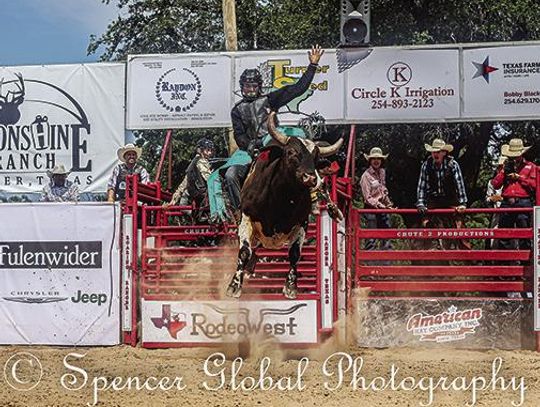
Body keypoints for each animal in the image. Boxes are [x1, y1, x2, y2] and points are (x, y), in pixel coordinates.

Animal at [226, 111, 344, 300]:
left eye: (316, 158)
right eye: (291, 152)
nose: (310, 177)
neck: (280, 200)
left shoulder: (301, 222)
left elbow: (294, 254)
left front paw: (291, 287)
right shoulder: (246, 217)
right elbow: (244, 251)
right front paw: (234, 285)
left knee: (324, 190)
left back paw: (334, 210)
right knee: (252, 248)